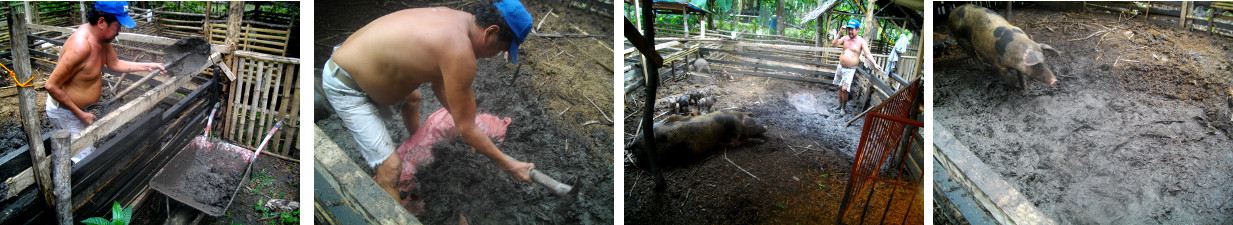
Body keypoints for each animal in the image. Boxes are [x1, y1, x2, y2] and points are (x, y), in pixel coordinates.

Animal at [631, 111, 764, 168]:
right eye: (756, 124)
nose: (765, 126)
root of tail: (634, 144)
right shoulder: (734, 138)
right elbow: (738, 141)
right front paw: (761, 141)